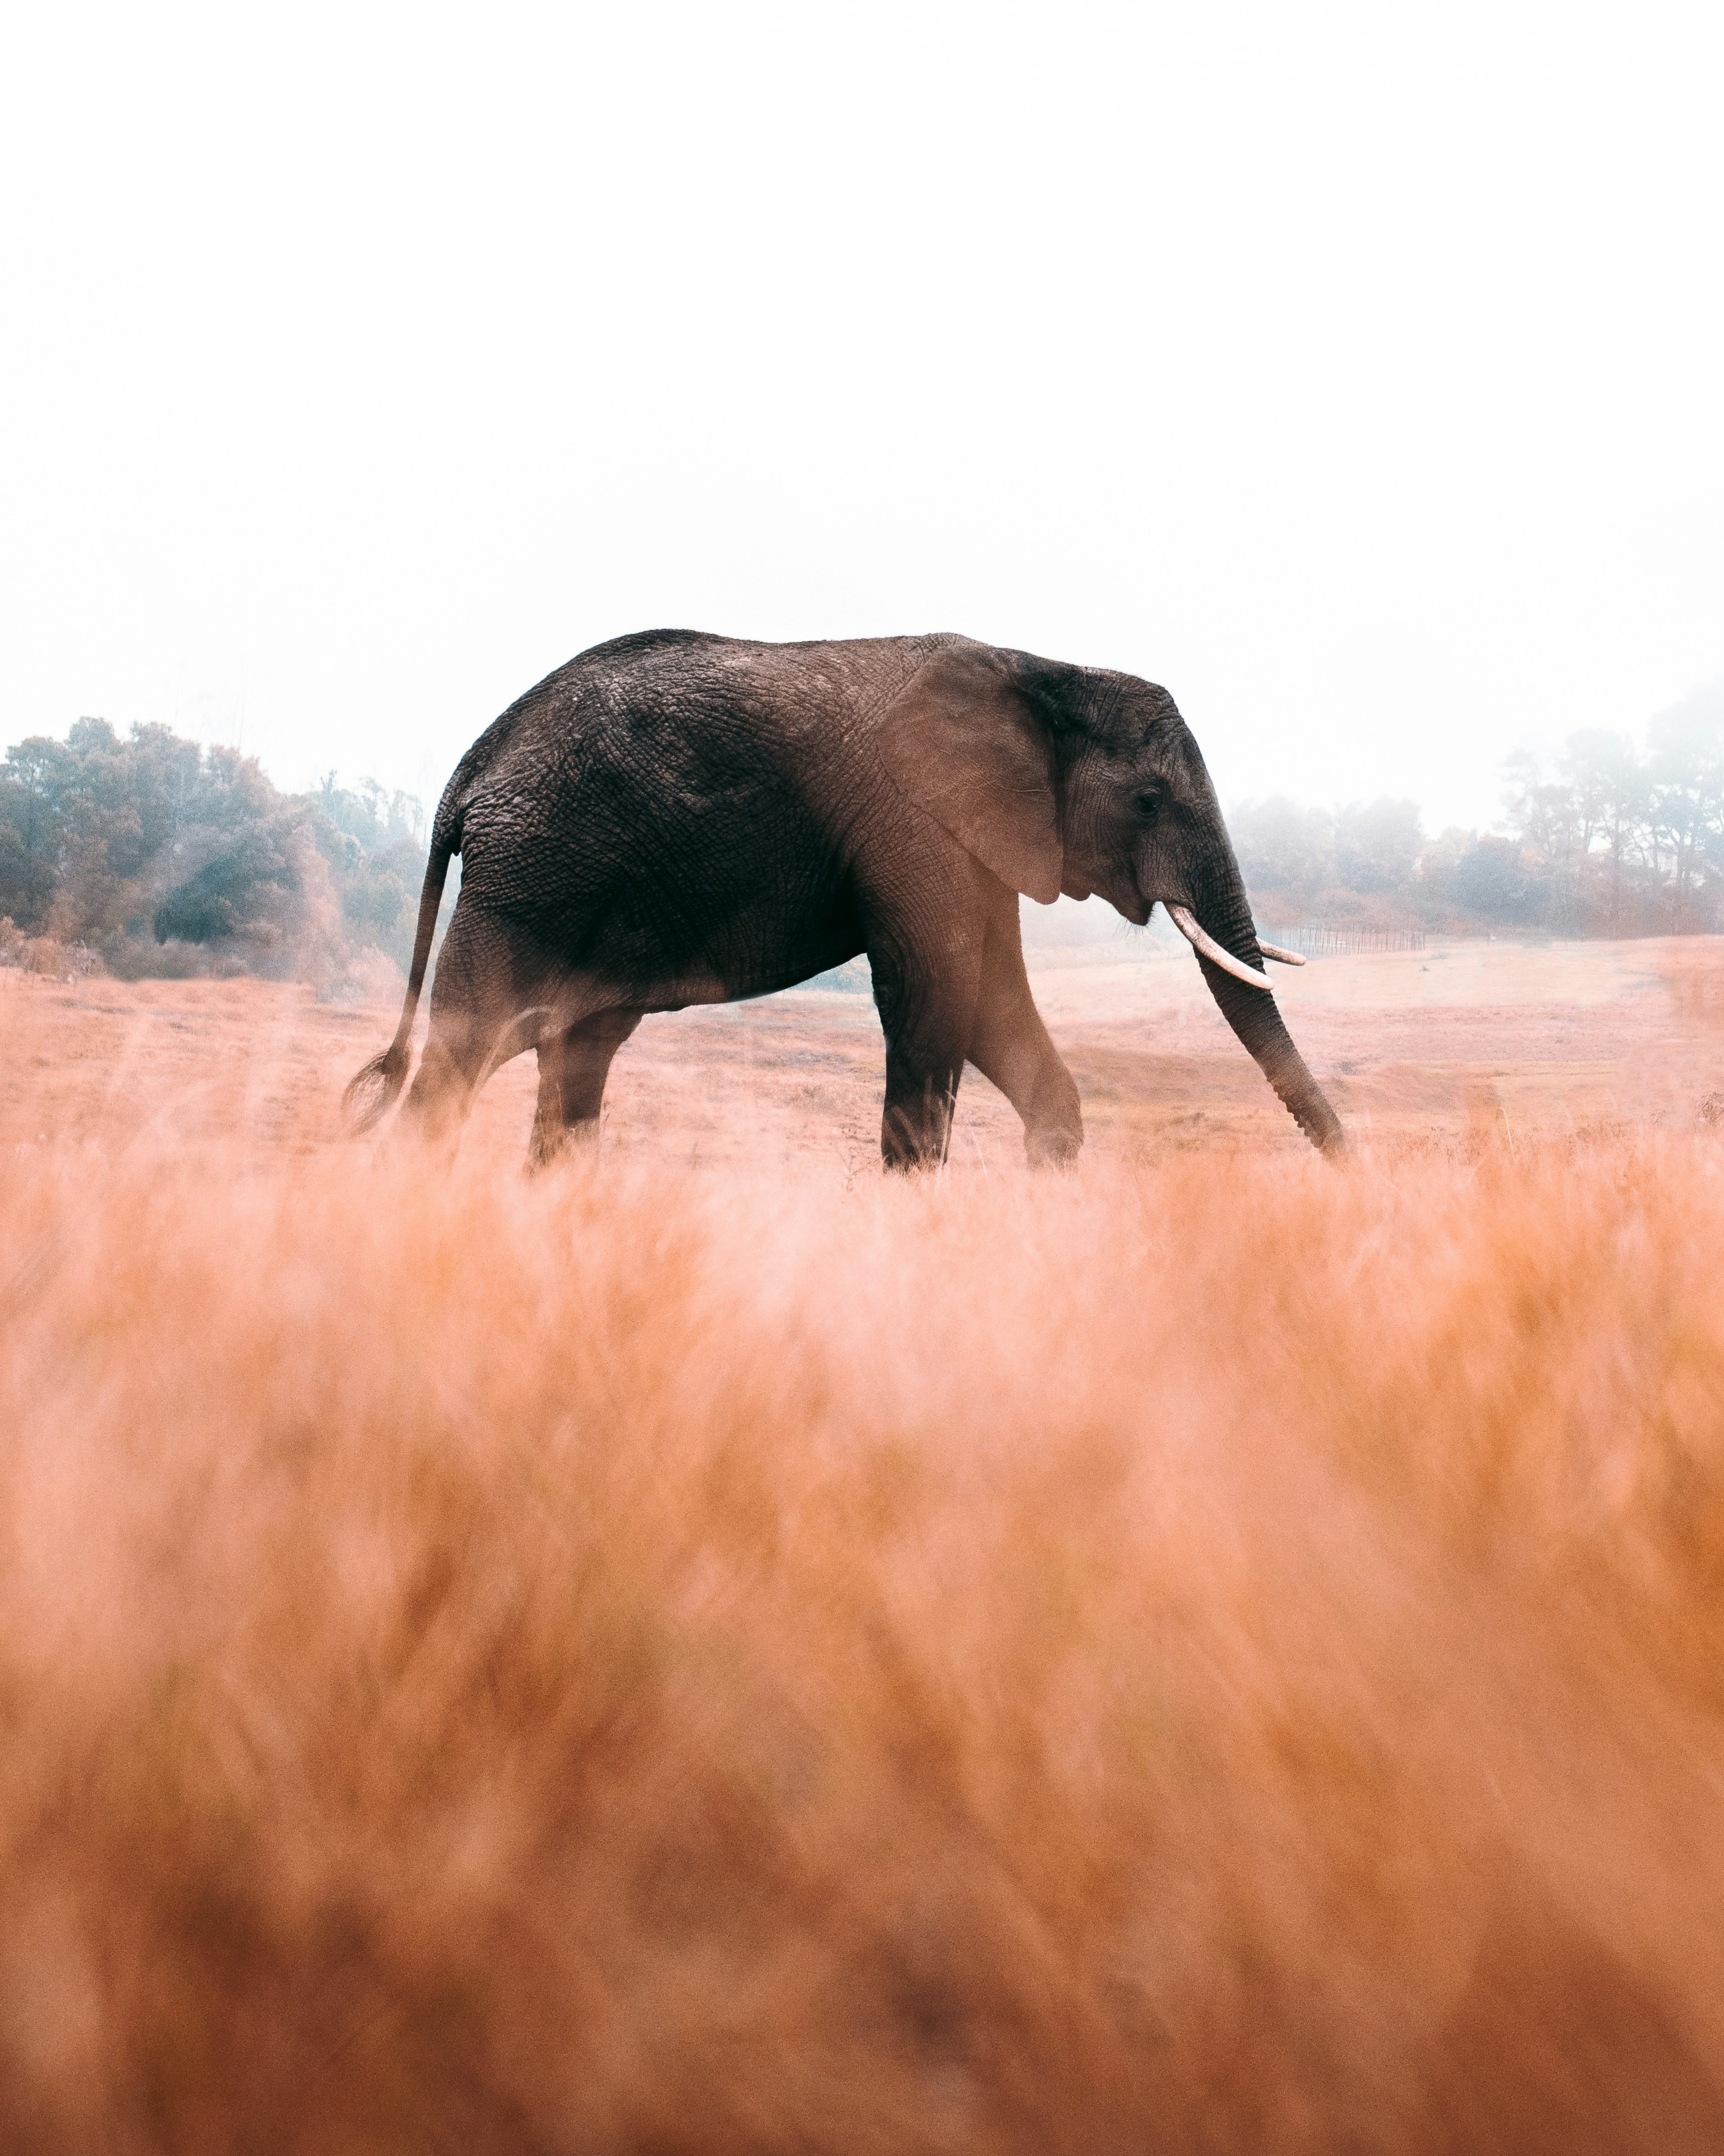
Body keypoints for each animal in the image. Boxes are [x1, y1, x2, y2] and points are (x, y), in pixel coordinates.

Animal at [345, 630, 1345, 1167]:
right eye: (1147, 800)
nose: (1355, 1178)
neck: (1039, 668)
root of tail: (471, 768)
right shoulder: (913, 822)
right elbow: (938, 1000)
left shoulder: (973, 836)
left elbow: (993, 1009)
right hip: (530, 879)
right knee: (462, 1060)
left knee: (572, 1061)